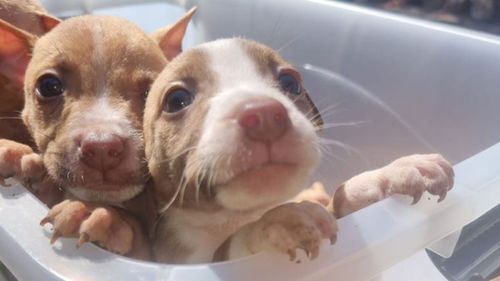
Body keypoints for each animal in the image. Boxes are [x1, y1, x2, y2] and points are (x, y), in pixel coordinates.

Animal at [145, 37, 454, 262]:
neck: (235, 217)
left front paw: (387, 175)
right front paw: (275, 222)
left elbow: (338, 201)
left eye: (290, 83)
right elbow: (229, 247)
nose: (264, 115)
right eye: (176, 100)